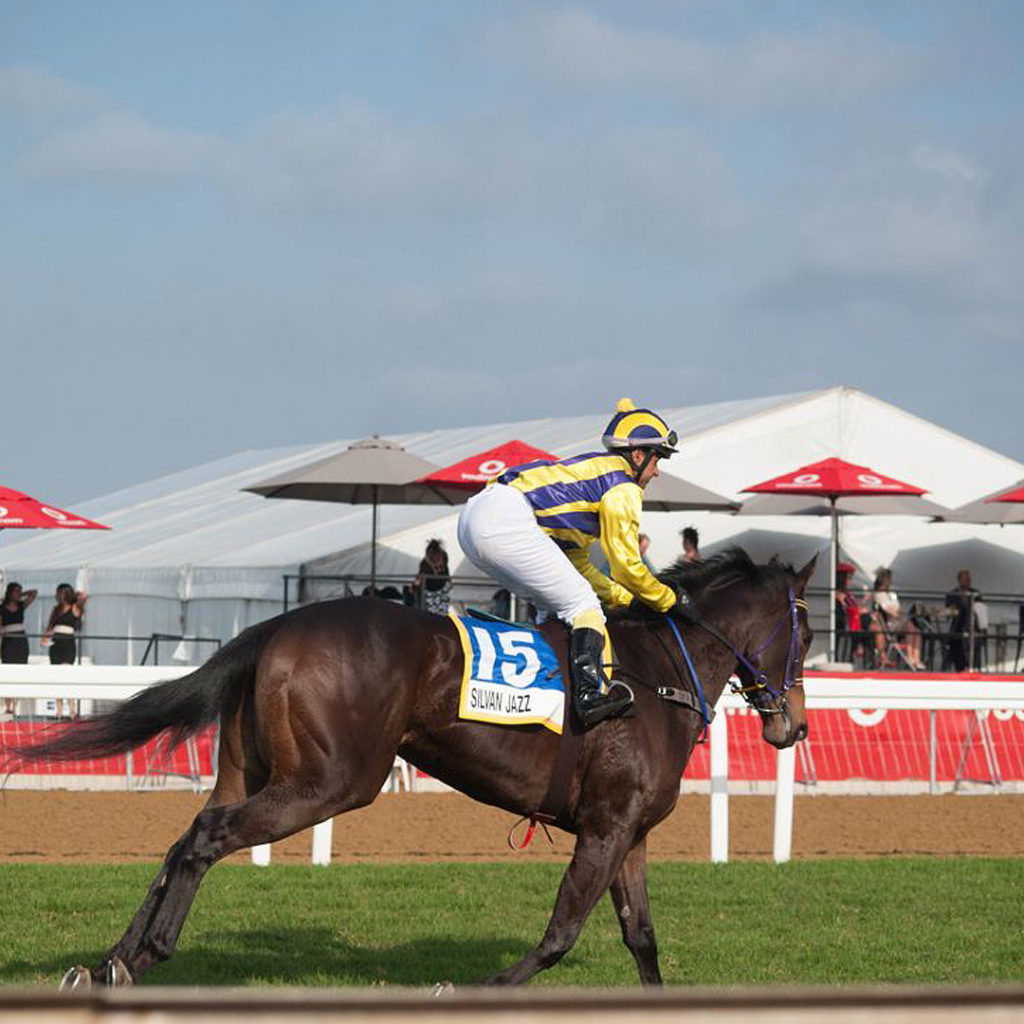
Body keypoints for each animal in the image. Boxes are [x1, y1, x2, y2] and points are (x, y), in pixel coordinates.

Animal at [11, 548, 815, 989]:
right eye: (806, 633)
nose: (795, 725)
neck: (657, 675)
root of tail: (279, 623)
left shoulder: (629, 831)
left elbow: (640, 938)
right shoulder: (607, 827)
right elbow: (560, 934)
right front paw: (465, 989)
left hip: (255, 770)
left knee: (186, 838)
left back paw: (114, 961)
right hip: (330, 783)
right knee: (208, 838)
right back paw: (148, 952)